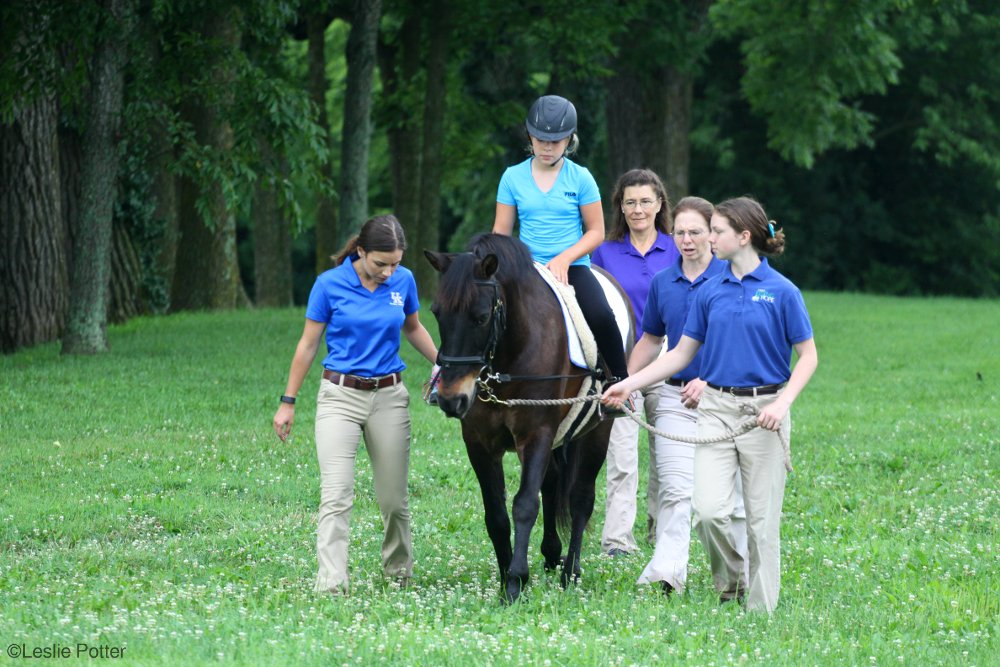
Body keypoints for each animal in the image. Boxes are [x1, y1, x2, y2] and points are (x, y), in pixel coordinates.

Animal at [424, 233, 631, 603]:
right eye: (437, 314)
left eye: (480, 317)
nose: (450, 399)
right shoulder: (479, 442)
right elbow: (496, 513)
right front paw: (506, 576)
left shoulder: (536, 434)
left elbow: (524, 505)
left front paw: (516, 582)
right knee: (552, 483)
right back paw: (551, 554)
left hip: (597, 431)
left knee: (581, 498)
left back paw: (570, 572)